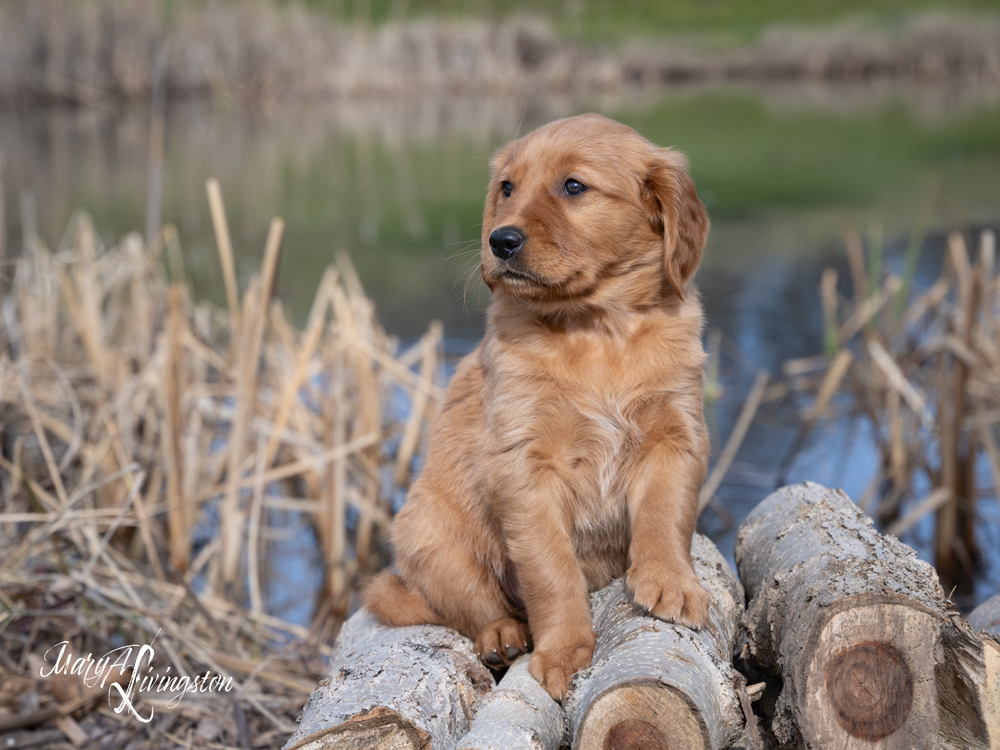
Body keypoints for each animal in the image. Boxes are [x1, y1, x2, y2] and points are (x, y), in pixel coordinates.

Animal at [364, 114, 716, 704]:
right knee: (474, 604)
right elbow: (551, 571)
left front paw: (671, 581)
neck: (595, 328)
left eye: (573, 186)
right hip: (428, 533)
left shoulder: (676, 433)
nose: (499, 240)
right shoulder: (524, 465)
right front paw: (565, 651)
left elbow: (667, 513)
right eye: (507, 188)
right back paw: (503, 636)